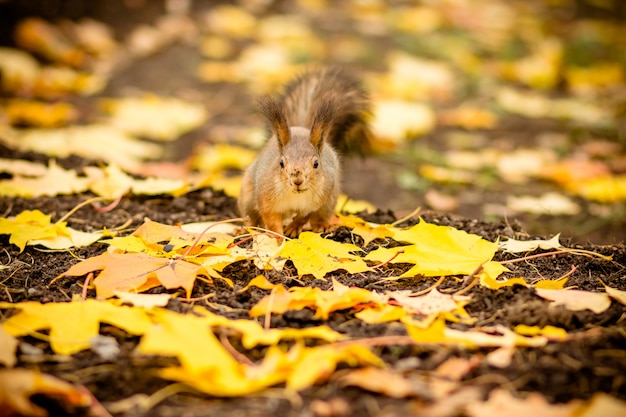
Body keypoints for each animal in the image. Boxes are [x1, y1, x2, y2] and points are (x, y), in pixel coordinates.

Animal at [236, 68, 368, 237]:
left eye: (316, 163)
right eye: (281, 163)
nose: (297, 180)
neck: (295, 195)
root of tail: (301, 128)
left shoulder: (317, 200)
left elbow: (304, 216)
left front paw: (293, 227)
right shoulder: (266, 198)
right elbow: (271, 220)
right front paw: (276, 236)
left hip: (330, 199)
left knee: (319, 216)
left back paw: (323, 226)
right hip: (247, 195)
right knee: (251, 217)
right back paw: (245, 229)